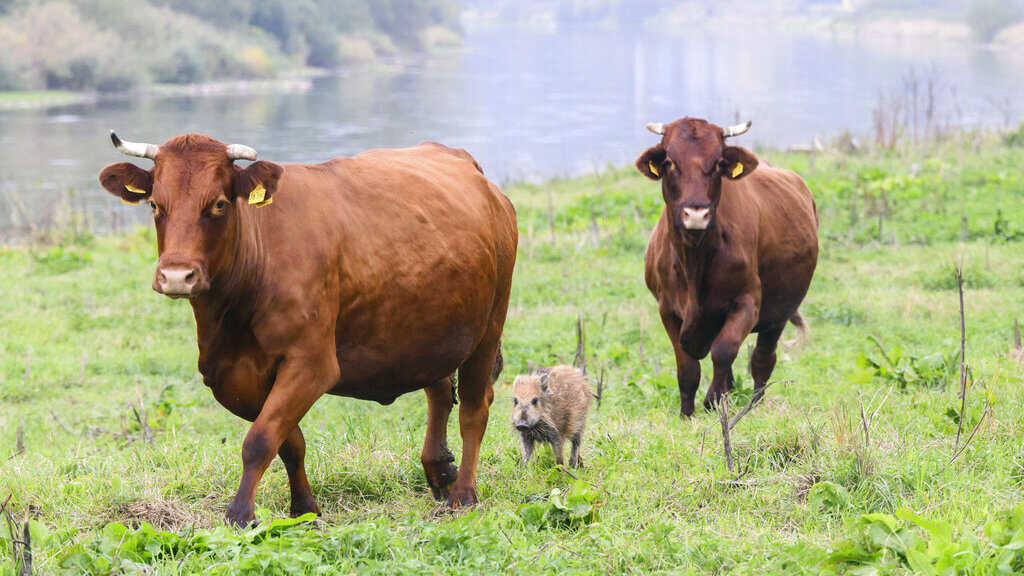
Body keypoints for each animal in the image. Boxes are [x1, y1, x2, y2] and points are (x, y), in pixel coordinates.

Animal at [98, 131, 516, 524]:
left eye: (218, 203)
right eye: (155, 204)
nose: (176, 276)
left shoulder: (311, 363)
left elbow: (260, 439)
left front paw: (240, 514)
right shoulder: (228, 373)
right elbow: (289, 441)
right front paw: (304, 509)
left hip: (489, 325)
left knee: (474, 409)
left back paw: (464, 493)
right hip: (430, 330)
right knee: (441, 390)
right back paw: (439, 469)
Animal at [634, 117, 819, 412]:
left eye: (719, 162)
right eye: (670, 162)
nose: (696, 213)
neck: (694, 261)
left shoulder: (747, 301)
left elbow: (724, 350)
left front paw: (713, 401)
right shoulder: (667, 309)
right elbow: (687, 367)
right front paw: (687, 413)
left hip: (779, 312)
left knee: (762, 359)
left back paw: (753, 404)